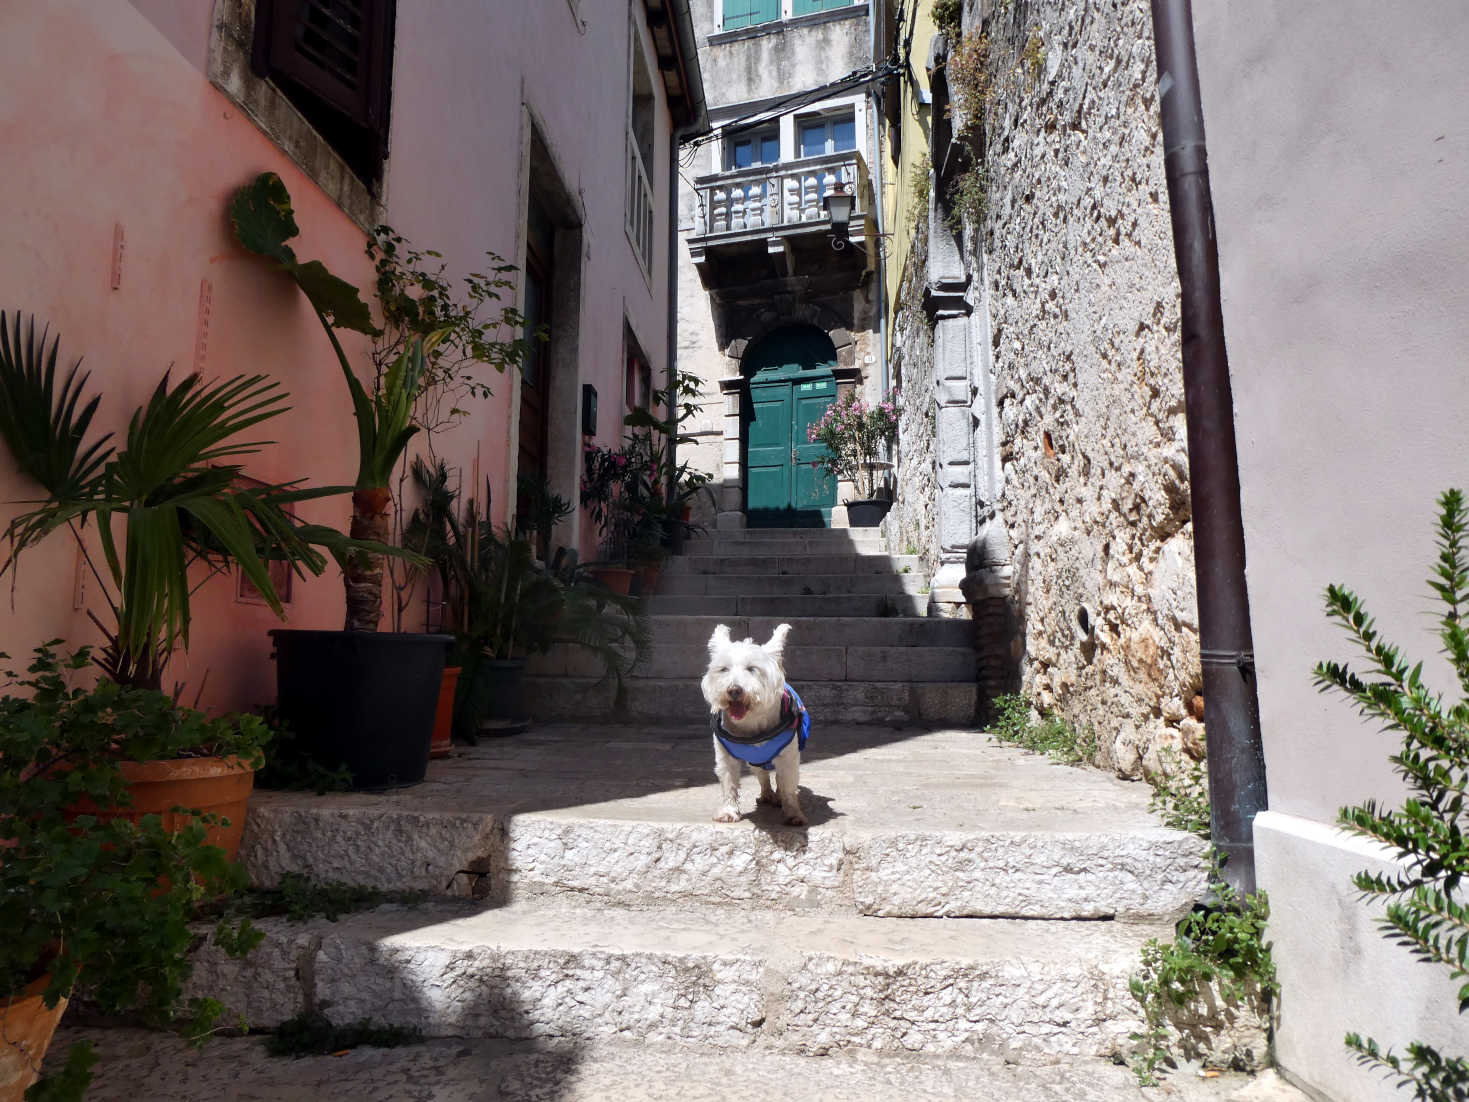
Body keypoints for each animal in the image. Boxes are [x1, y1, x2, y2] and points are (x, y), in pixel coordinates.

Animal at [702, 622, 816, 828]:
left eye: (752, 668)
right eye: (723, 669)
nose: (734, 690)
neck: (751, 724)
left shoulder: (788, 757)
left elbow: (788, 785)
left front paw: (793, 814)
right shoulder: (725, 756)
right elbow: (729, 782)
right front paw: (729, 811)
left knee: (779, 779)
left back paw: (777, 797)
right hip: (755, 762)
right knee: (763, 776)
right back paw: (767, 795)